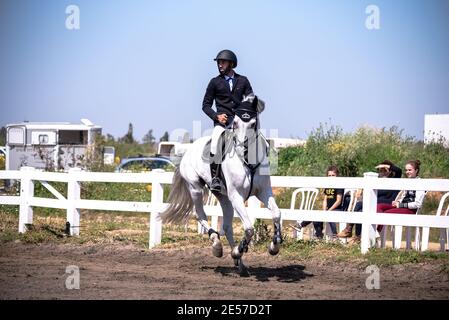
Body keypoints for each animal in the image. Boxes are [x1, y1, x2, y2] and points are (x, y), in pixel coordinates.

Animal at [160, 94, 280, 272]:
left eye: (253, 123)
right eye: (235, 123)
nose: (241, 149)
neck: (248, 161)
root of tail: (188, 150)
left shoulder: (264, 192)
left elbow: (277, 214)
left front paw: (274, 247)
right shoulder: (236, 195)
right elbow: (249, 228)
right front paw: (238, 250)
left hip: (223, 197)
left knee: (227, 227)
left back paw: (239, 264)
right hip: (196, 189)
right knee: (200, 215)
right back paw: (217, 245)